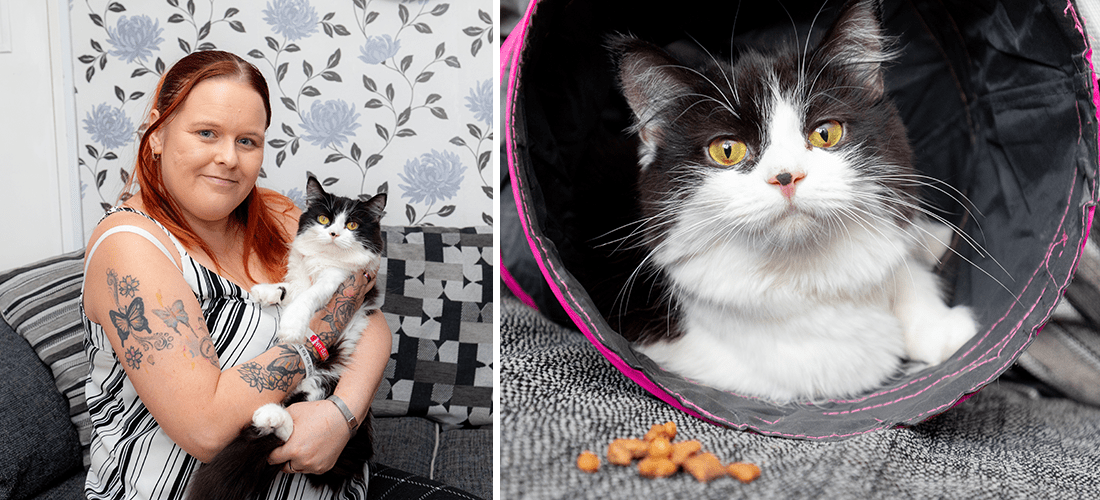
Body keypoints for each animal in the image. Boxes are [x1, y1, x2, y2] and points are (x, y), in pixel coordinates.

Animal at [191, 174, 389, 496]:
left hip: (323, 384)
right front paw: (266, 292)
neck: (322, 259)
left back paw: (269, 416)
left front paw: (292, 325)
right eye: (324, 219)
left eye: (352, 225)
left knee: (294, 431)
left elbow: (307, 297)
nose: (334, 233)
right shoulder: (298, 274)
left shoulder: (338, 280)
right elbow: (290, 288)